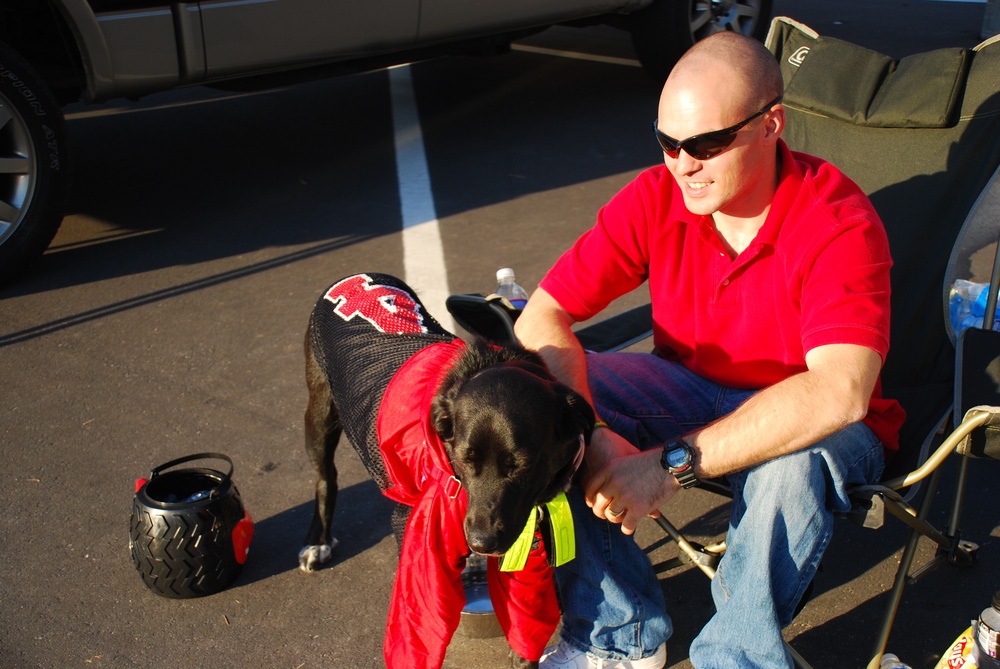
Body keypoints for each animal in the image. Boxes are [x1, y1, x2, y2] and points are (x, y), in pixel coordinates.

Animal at [296, 272, 592, 668]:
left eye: (521, 465)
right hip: (319, 415)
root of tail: (354, 277)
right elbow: (417, 632)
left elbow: (527, 627)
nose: (482, 543)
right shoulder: (420, 543)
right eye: (466, 459)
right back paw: (317, 540)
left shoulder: (528, 541)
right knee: (325, 477)